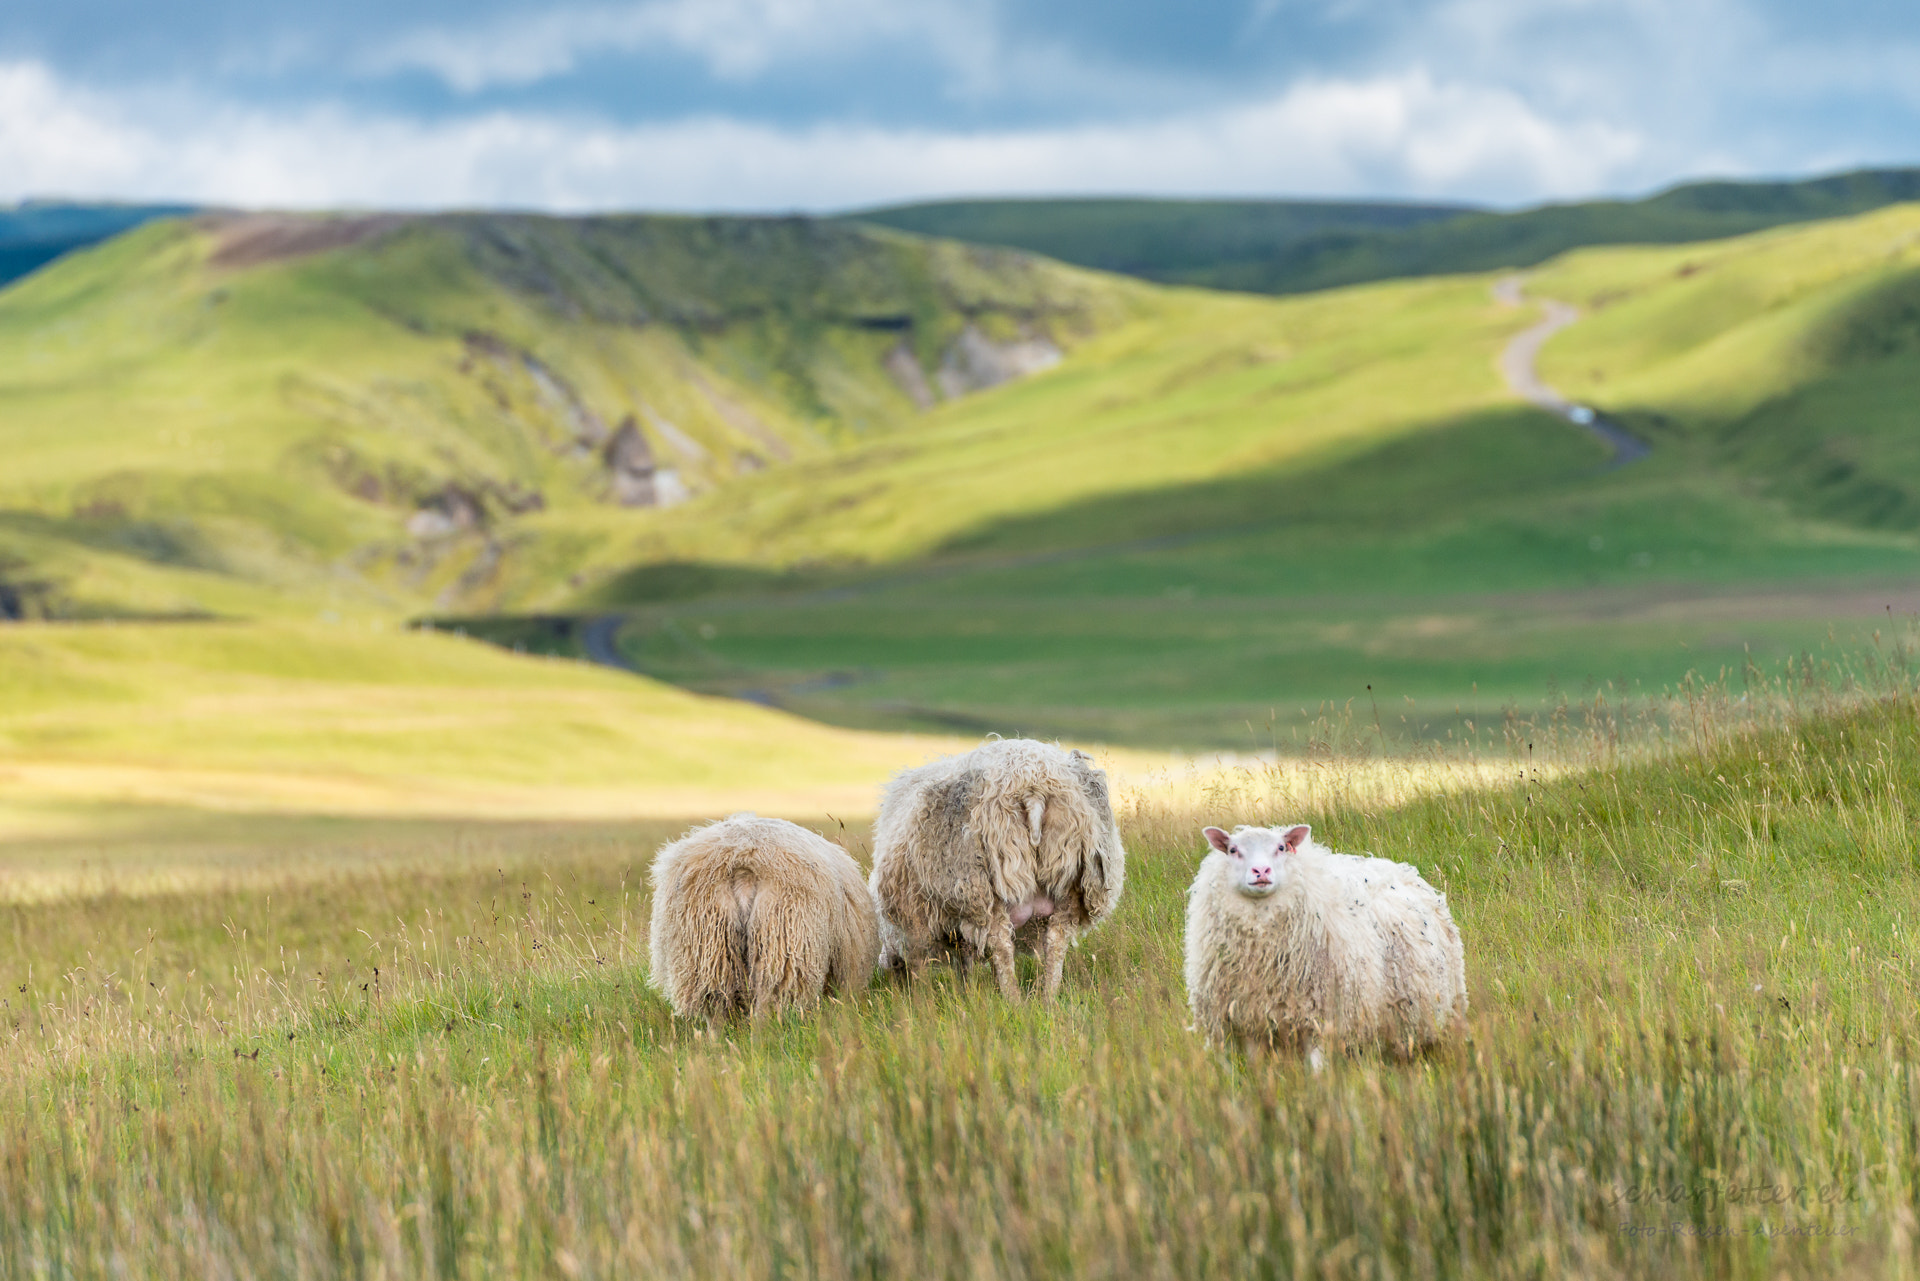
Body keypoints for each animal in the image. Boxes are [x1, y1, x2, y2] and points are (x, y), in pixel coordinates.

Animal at [871, 741, 1121, 998]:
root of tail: (1033, 784)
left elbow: (961, 961)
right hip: (1073, 877)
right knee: (1056, 940)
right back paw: (1048, 997)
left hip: (983, 885)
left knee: (1000, 944)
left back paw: (1012, 999)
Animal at [1182, 825, 1466, 1067]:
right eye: (1233, 850)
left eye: (1281, 847)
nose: (1261, 871)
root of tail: (1402, 869)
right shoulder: (1248, 1018)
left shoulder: (1323, 1017)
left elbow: (1318, 1069)